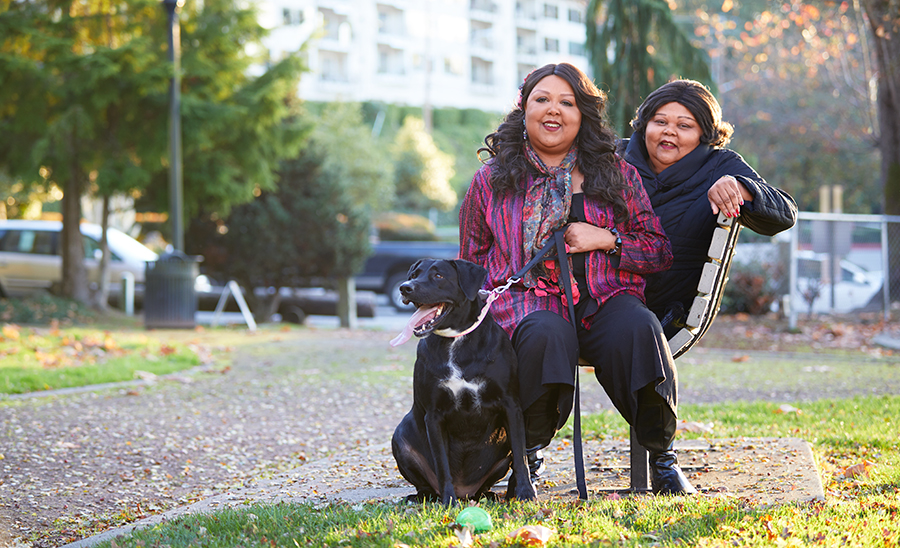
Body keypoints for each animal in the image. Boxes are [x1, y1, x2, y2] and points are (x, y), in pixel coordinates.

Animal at [388, 260, 536, 508]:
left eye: (438, 275)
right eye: (414, 274)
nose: (405, 287)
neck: (456, 340)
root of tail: (466, 491)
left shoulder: (511, 405)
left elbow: (521, 456)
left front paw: (525, 493)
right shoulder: (434, 415)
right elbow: (442, 464)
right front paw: (448, 501)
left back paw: (488, 494)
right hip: (400, 439)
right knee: (425, 483)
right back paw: (422, 496)